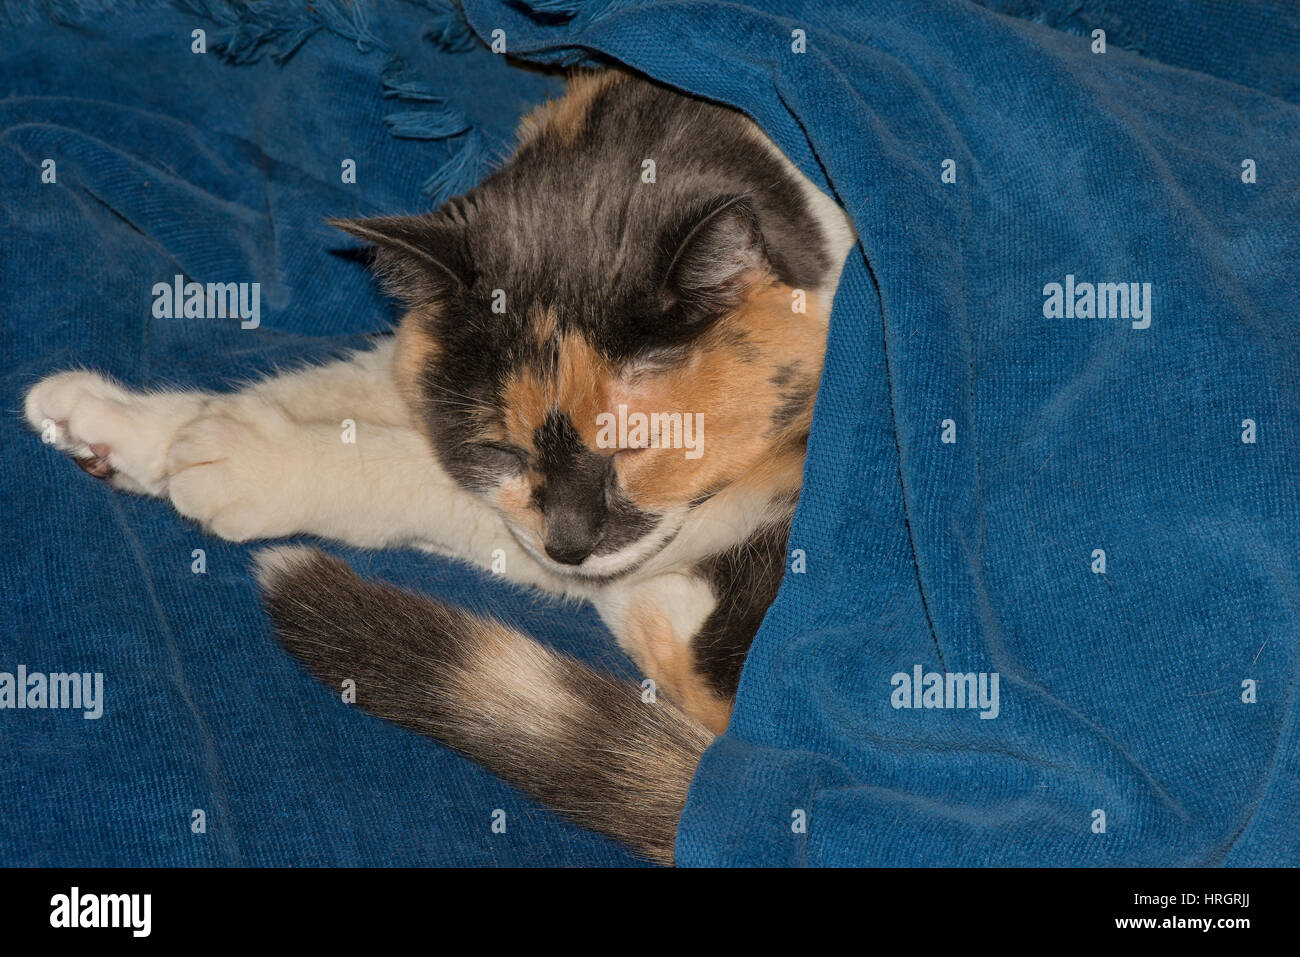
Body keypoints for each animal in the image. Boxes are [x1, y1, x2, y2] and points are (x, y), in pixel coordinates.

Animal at [25, 70, 857, 863]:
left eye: (634, 446)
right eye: (502, 447)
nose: (567, 545)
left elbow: (423, 477)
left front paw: (247, 460)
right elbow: (338, 386)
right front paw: (123, 423)